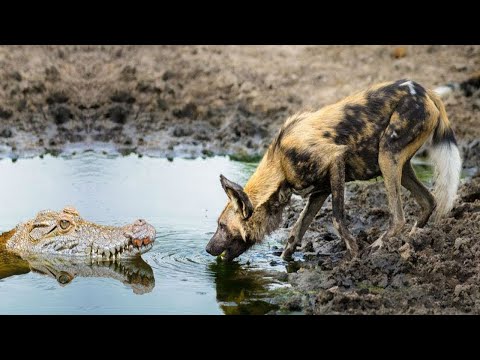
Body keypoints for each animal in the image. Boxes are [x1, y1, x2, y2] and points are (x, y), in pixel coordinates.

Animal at [205, 80, 462, 262]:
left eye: (222, 226)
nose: (207, 248)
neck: (280, 166)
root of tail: (425, 91)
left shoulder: (335, 161)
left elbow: (337, 219)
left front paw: (354, 255)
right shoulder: (320, 190)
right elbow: (296, 231)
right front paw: (285, 261)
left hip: (387, 157)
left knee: (398, 218)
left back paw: (377, 247)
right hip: (399, 165)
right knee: (428, 201)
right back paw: (413, 239)